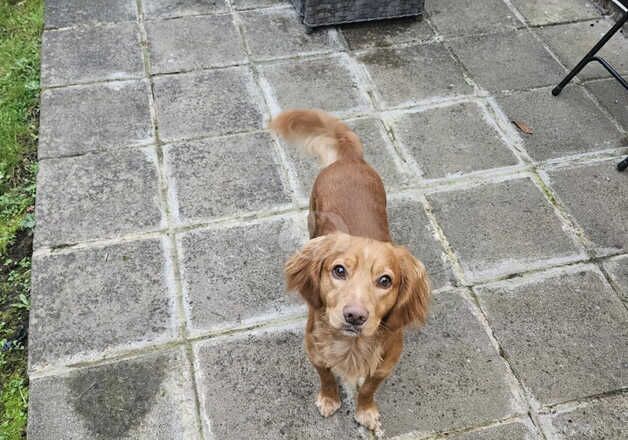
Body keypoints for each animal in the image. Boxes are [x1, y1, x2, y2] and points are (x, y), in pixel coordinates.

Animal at [270, 109, 432, 434]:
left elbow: (368, 388)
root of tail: (349, 159)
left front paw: (365, 410)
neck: (352, 347)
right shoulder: (315, 352)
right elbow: (326, 377)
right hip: (313, 212)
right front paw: (329, 399)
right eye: (339, 270)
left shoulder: (386, 364)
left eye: (385, 280)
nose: (355, 316)